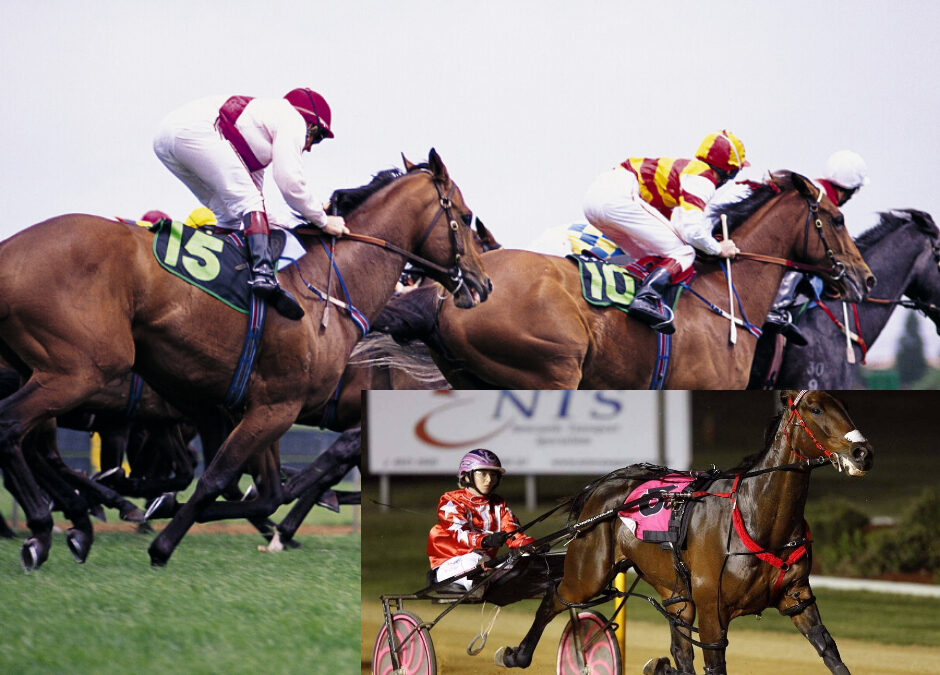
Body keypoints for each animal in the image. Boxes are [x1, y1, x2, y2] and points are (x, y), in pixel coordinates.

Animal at [0, 149, 492, 572]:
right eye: (466, 217)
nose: (484, 283)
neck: (327, 288)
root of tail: (11, 250)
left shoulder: (251, 408)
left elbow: (263, 491)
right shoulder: (273, 407)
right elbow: (219, 478)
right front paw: (163, 543)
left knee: (31, 441)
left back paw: (69, 523)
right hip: (82, 370)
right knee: (12, 427)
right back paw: (45, 528)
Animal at [500, 390, 872, 675]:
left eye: (845, 406)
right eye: (816, 408)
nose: (863, 452)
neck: (755, 517)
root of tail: (604, 484)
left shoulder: (797, 599)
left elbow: (832, 653)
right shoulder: (711, 613)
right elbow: (713, 663)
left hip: (676, 593)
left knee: (679, 646)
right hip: (589, 572)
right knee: (554, 596)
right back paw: (518, 654)